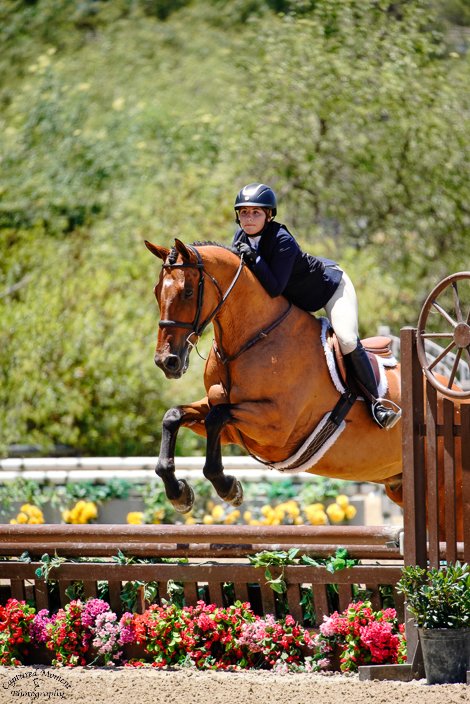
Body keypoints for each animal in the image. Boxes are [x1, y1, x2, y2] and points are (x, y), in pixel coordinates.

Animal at [144, 239, 463, 538]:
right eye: (157, 291)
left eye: (187, 292)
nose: (166, 361)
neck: (251, 339)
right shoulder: (231, 425)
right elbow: (175, 416)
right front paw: (179, 493)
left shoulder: (275, 427)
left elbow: (215, 419)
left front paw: (228, 487)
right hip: (401, 486)